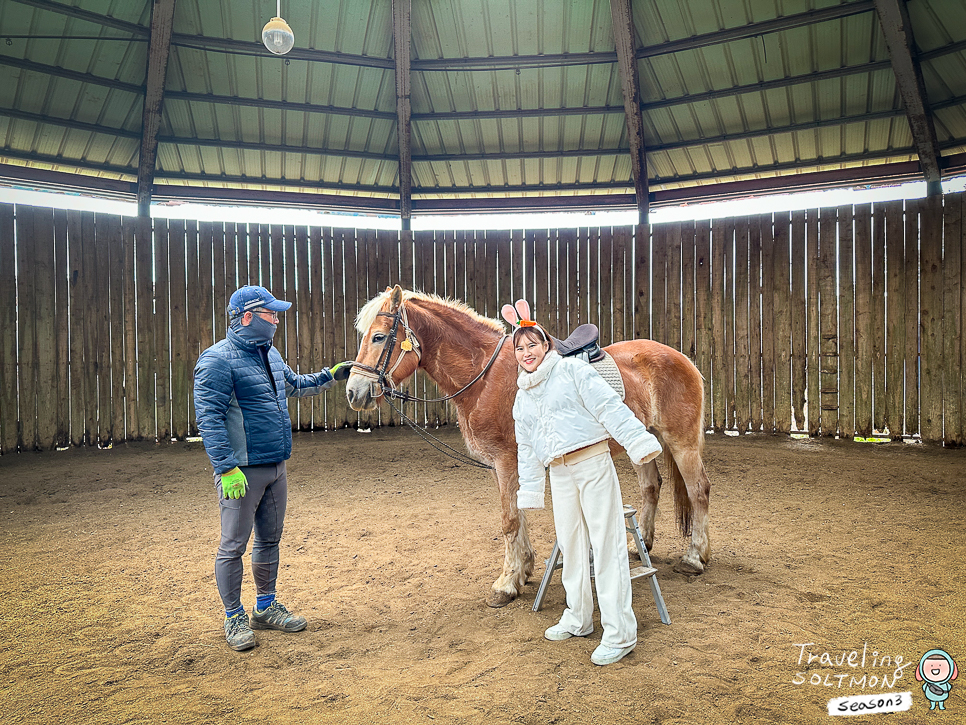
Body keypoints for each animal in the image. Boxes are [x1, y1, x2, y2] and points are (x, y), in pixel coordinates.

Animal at [348, 282, 712, 604]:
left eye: (379, 337)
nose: (354, 392)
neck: (485, 376)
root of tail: (682, 358)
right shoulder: (500, 465)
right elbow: (517, 515)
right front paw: (522, 570)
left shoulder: (507, 460)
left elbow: (509, 520)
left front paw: (506, 583)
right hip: (643, 443)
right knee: (652, 487)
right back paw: (642, 546)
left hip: (681, 442)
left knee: (698, 491)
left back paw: (694, 557)